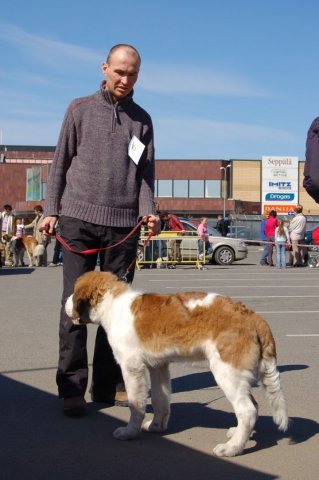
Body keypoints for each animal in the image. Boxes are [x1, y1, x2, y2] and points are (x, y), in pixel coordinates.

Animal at [65, 270, 290, 458]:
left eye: (74, 293)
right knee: (253, 406)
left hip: (227, 372)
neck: (113, 304)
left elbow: (136, 404)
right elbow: (160, 399)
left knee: (247, 410)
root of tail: (251, 315)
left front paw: (129, 431)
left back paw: (232, 448)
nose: (64, 304)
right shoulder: (158, 366)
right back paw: (237, 434)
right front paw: (156, 426)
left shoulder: (132, 366)